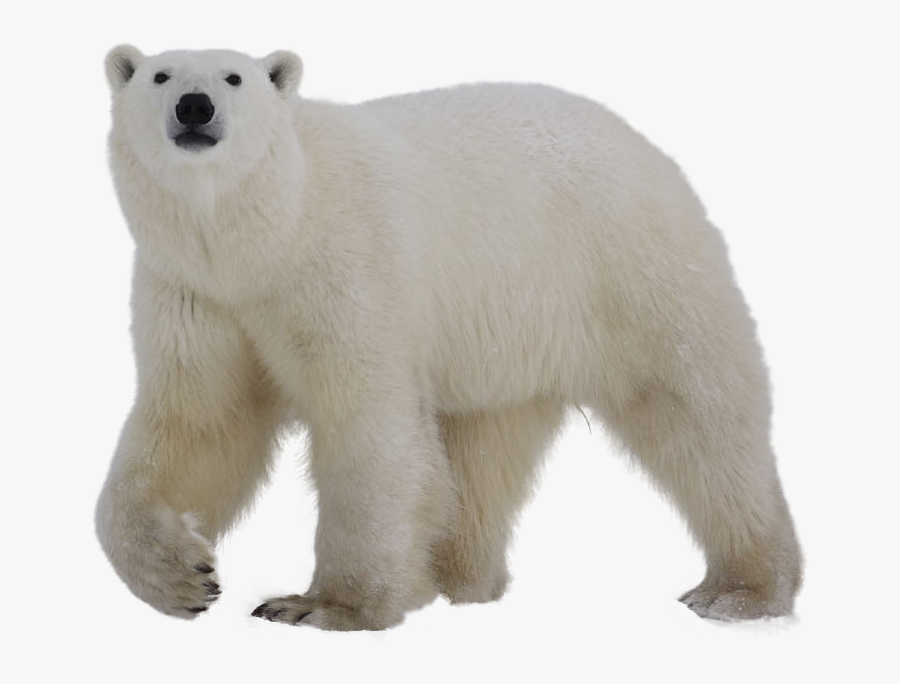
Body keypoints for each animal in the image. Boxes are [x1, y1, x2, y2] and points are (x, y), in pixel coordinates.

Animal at [96, 45, 802, 630]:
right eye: (160, 75)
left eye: (233, 77)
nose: (194, 106)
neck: (269, 235)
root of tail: (648, 146)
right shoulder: (199, 294)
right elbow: (200, 424)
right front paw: (183, 578)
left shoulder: (345, 267)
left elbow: (368, 424)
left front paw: (321, 606)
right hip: (506, 340)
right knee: (482, 453)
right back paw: (456, 577)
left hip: (628, 269)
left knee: (696, 415)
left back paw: (740, 591)